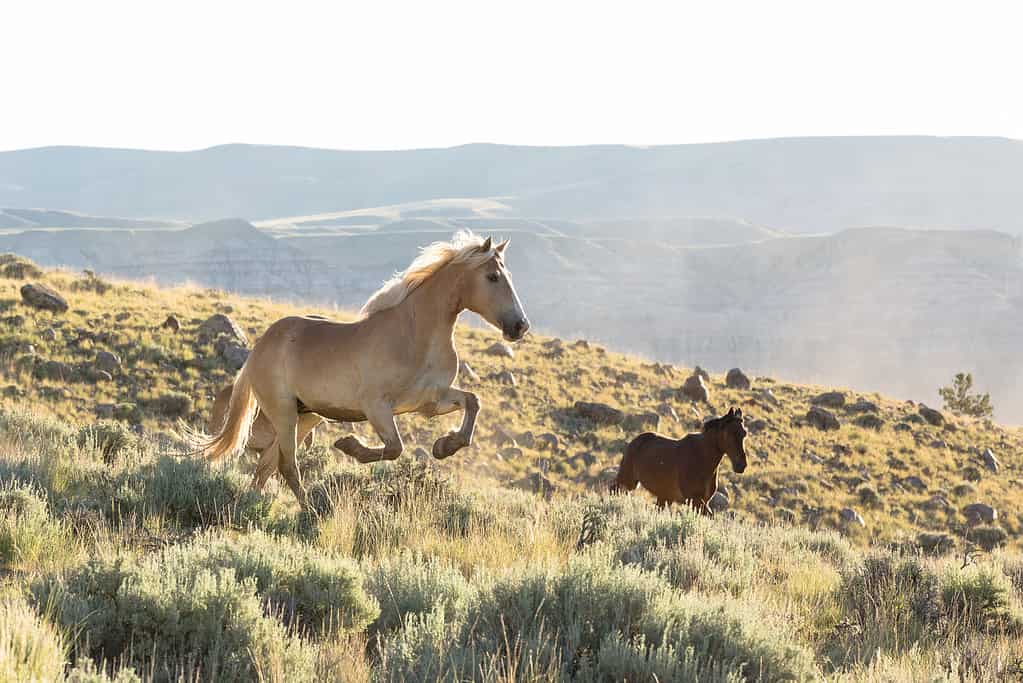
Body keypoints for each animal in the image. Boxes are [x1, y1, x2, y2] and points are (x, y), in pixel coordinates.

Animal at [193, 231, 529, 507]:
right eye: (493, 277)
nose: (520, 326)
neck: (415, 334)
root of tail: (258, 349)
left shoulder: (430, 402)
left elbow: (472, 402)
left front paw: (444, 446)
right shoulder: (376, 406)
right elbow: (394, 448)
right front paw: (349, 445)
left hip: (307, 415)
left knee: (267, 464)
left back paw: (253, 503)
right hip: (284, 412)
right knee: (287, 465)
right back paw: (312, 510)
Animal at [611, 407, 748, 513]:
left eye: (744, 433)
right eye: (730, 433)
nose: (741, 465)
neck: (702, 458)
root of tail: (634, 441)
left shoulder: (704, 501)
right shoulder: (695, 501)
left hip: (664, 497)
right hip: (628, 482)